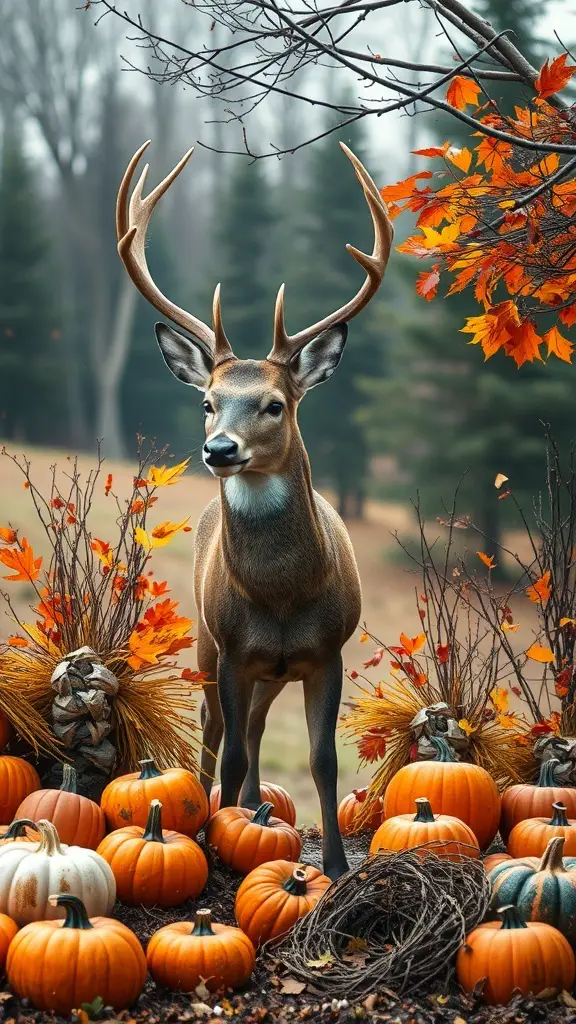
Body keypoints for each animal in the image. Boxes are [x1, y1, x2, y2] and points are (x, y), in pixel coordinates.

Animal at [116, 140, 393, 879]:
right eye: (207, 401)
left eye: (273, 404)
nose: (220, 449)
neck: (282, 594)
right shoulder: (234, 649)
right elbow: (234, 748)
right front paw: (219, 842)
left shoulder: (326, 651)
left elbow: (323, 760)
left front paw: (334, 866)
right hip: (212, 645)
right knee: (220, 730)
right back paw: (220, 806)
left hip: (272, 670)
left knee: (260, 727)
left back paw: (253, 808)